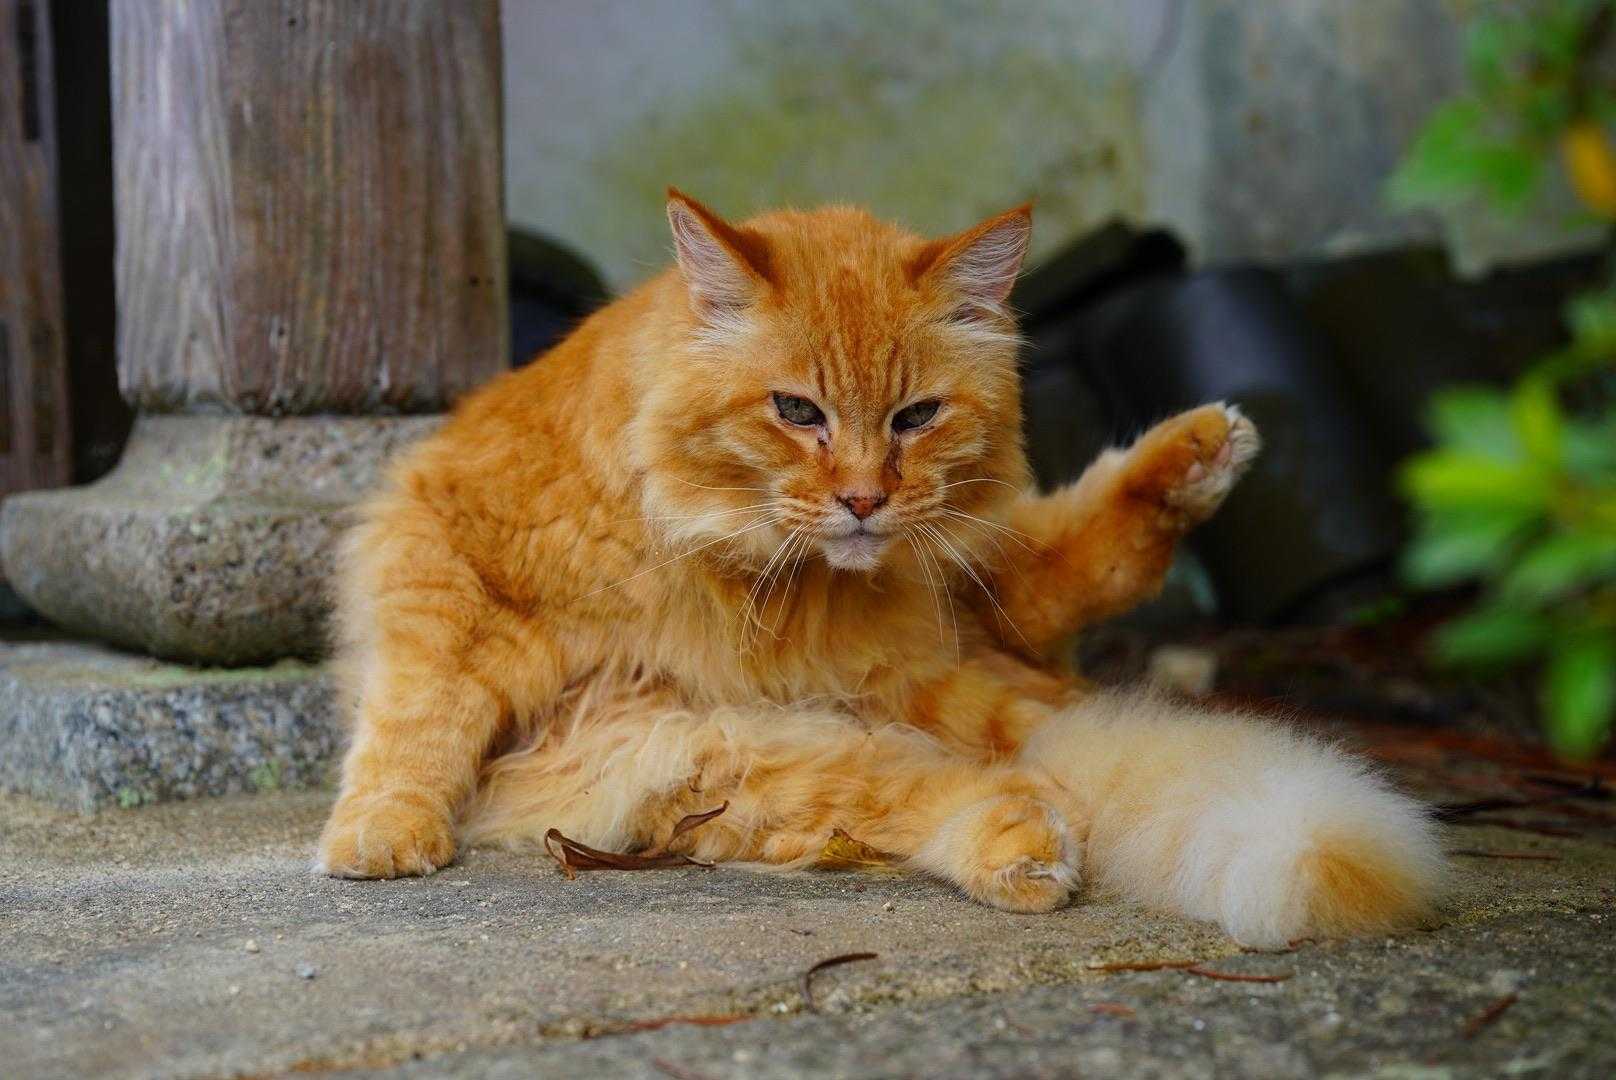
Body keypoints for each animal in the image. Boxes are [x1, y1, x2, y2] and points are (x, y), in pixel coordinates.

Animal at [315, 191, 1444, 946]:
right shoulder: (447, 552)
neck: (756, 587)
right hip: (720, 747)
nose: (862, 499)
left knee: (1053, 597)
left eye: (913, 416)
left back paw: (1200, 457)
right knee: (957, 779)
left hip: (956, 592)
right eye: (795, 411)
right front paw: (380, 829)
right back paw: (1026, 845)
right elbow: (419, 709)